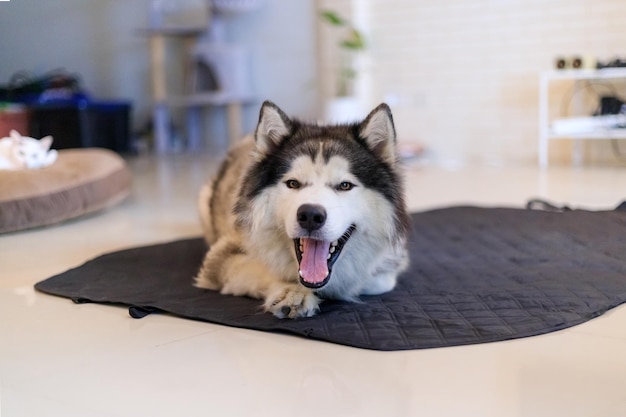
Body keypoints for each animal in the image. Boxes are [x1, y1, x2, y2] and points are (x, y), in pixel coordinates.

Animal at [195, 101, 410, 318]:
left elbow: (367, 282)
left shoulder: (391, 262)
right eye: (293, 183)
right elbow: (260, 269)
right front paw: (291, 292)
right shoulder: (222, 255)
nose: (311, 215)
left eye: (345, 185)